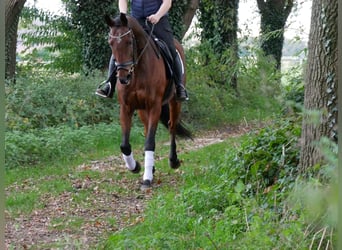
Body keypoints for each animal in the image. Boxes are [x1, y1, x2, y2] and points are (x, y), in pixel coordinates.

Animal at [104, 13, 192, 189]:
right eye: (111, 43)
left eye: (129, 42)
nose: (123, 78)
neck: (137, 71)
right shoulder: (126, 108)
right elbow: (125, 145)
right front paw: (136, 167)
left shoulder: (154, 106)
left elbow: (150, 142)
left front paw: (146, 179)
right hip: (142, 109)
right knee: (147, 129)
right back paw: (150, 167)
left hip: (174, 101)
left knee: (172, 126)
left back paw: (173, 161)